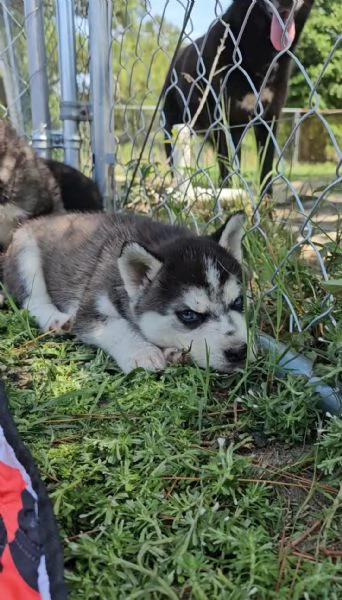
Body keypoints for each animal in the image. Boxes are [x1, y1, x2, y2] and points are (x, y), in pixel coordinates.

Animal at [2, 209, 248, 372]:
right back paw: (55, 319)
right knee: (32, 299)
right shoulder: (91, 309)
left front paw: (172, 350)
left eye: (238, 302)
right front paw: (143, 352)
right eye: (188, 315)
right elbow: (117, 327)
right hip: (27, 254)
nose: (238, 352)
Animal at [162, 0, 314, 195]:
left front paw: (266, 200)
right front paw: (228, 192)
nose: (286, 4)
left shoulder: (268, 119)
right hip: (173, 128)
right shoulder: (223, 119)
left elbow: (265, 167)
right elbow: (228, 166)